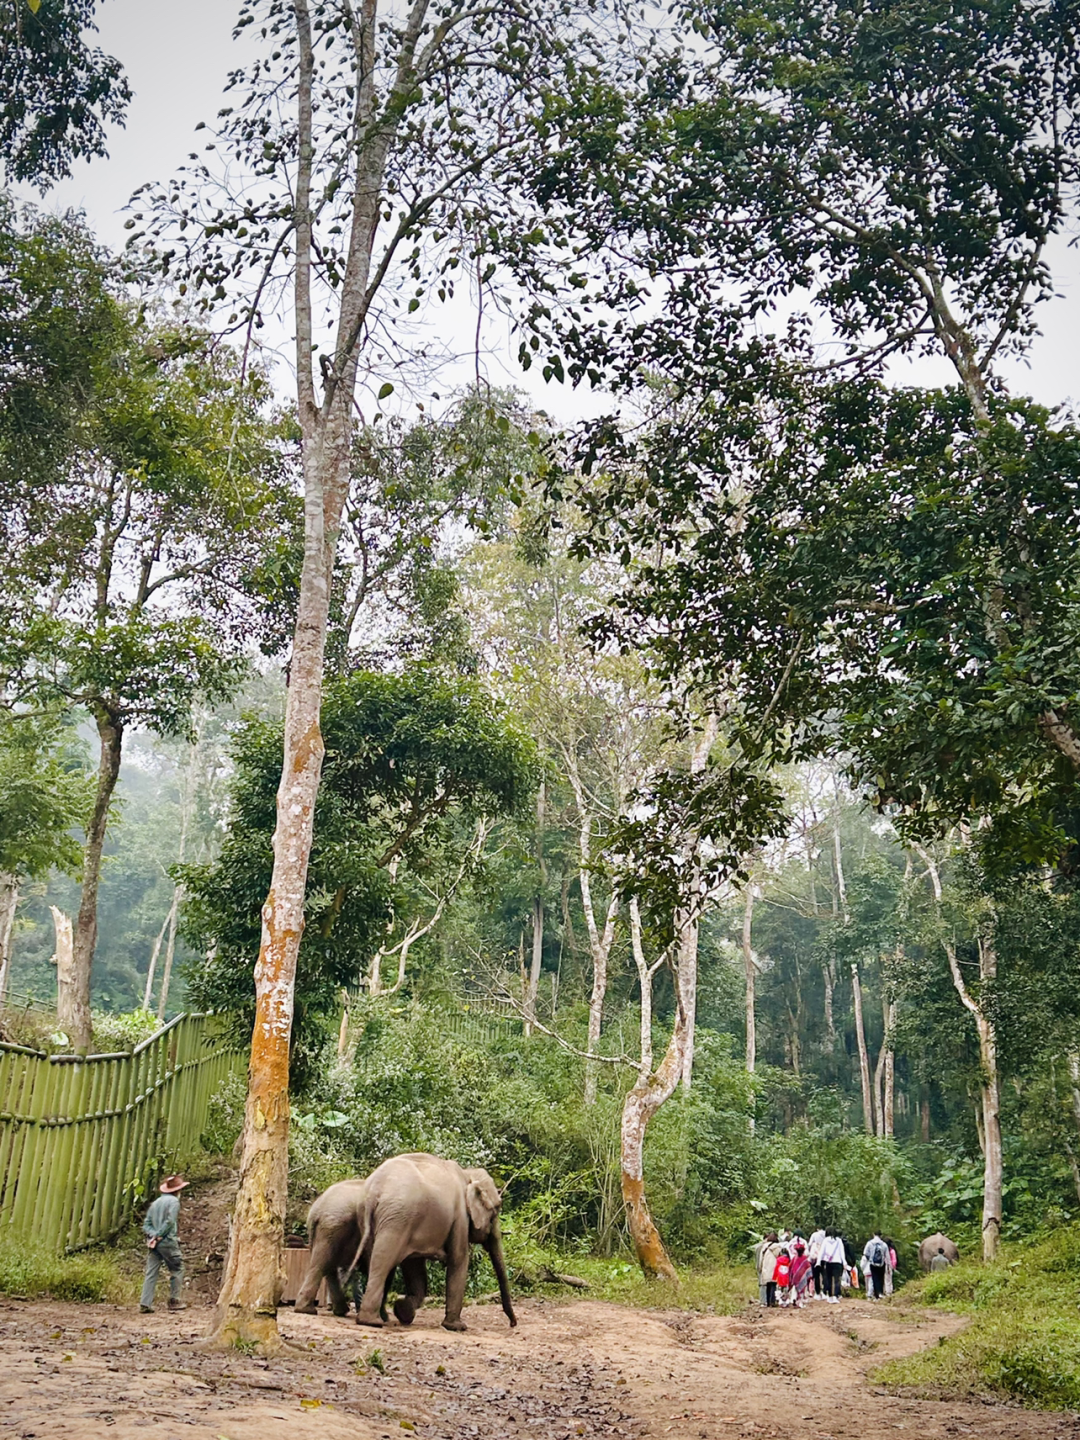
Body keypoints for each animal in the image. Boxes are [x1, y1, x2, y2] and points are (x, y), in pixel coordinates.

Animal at [347, 1152, 515, 1330]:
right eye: (496, 1210)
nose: (512, 1323)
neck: (468, 1173)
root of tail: (374, 1191)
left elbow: (415, 1268)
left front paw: (403, 1312)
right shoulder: (460, 1217)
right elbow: (459, 1259)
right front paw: (457, 1327)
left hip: (375, 1219)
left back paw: (377, 1318)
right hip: (396, 1220)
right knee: (383, 1262)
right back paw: (371, 1321)